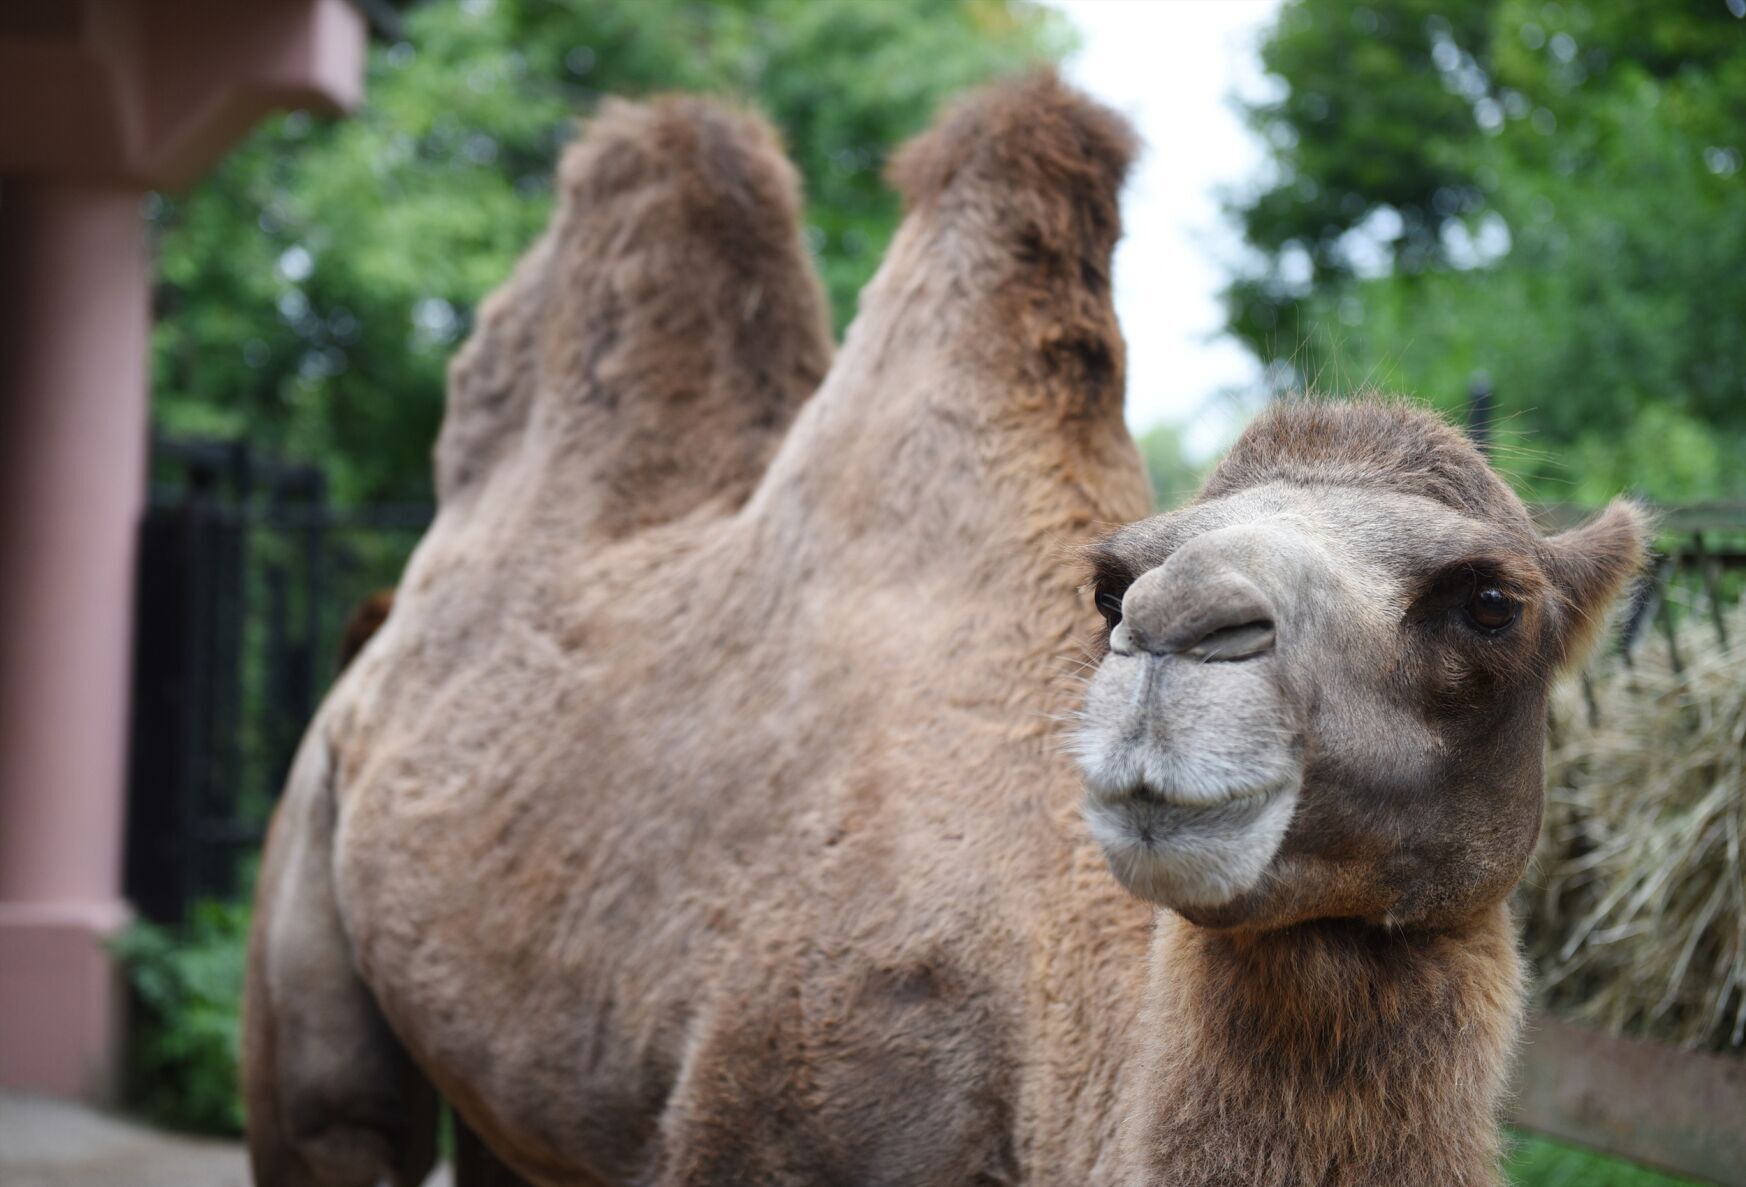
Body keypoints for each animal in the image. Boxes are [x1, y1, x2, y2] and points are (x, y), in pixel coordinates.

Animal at [246, 76, 1648, 1187]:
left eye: (1491, 603)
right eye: (1113, 586)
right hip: (309, 912)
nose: (1179, 634)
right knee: (334, 1112)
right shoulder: (756, 1124)